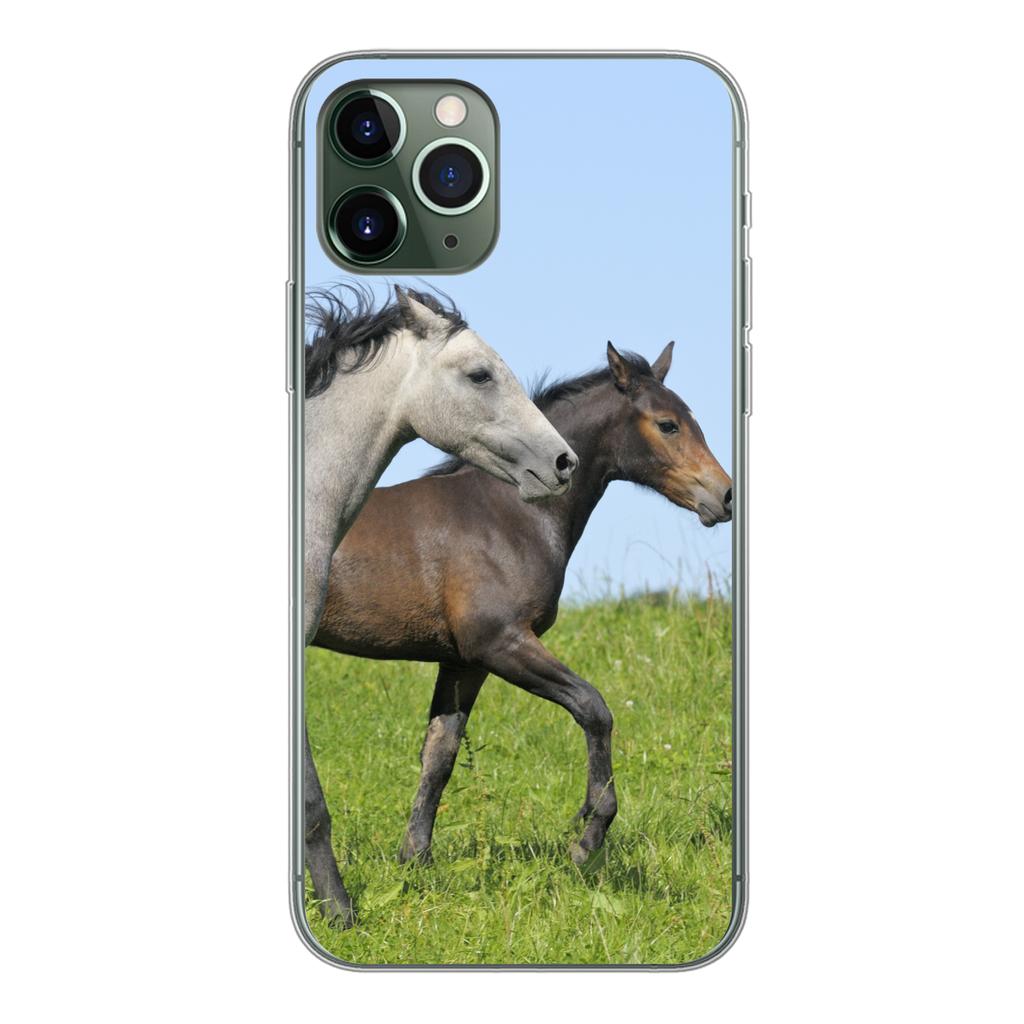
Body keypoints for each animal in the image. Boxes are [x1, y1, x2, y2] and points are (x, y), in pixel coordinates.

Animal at [308, 341, 731, 924]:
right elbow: (594, 708)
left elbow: (439, 756)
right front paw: (588, 835)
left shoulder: (464, 661)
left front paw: (415, 864)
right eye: (667, 424)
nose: (725, 496)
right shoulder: (502, 642)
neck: (506, 514)